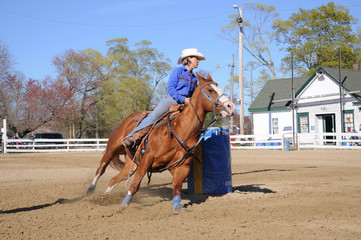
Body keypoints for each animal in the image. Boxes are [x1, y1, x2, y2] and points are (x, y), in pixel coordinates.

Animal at [86, 73, 235, 210]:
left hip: (132, 164)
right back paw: (90, 191)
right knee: (101, 169)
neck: (180, 129)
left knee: (114, 180)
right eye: (210, 90)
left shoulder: (182, 166)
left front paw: (177, 206)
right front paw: (124, 205)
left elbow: (177, 187)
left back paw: (104, 198)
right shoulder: (147, 158)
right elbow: (135, 184)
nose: (231, 106)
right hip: (113, 148)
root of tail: (130, 118)